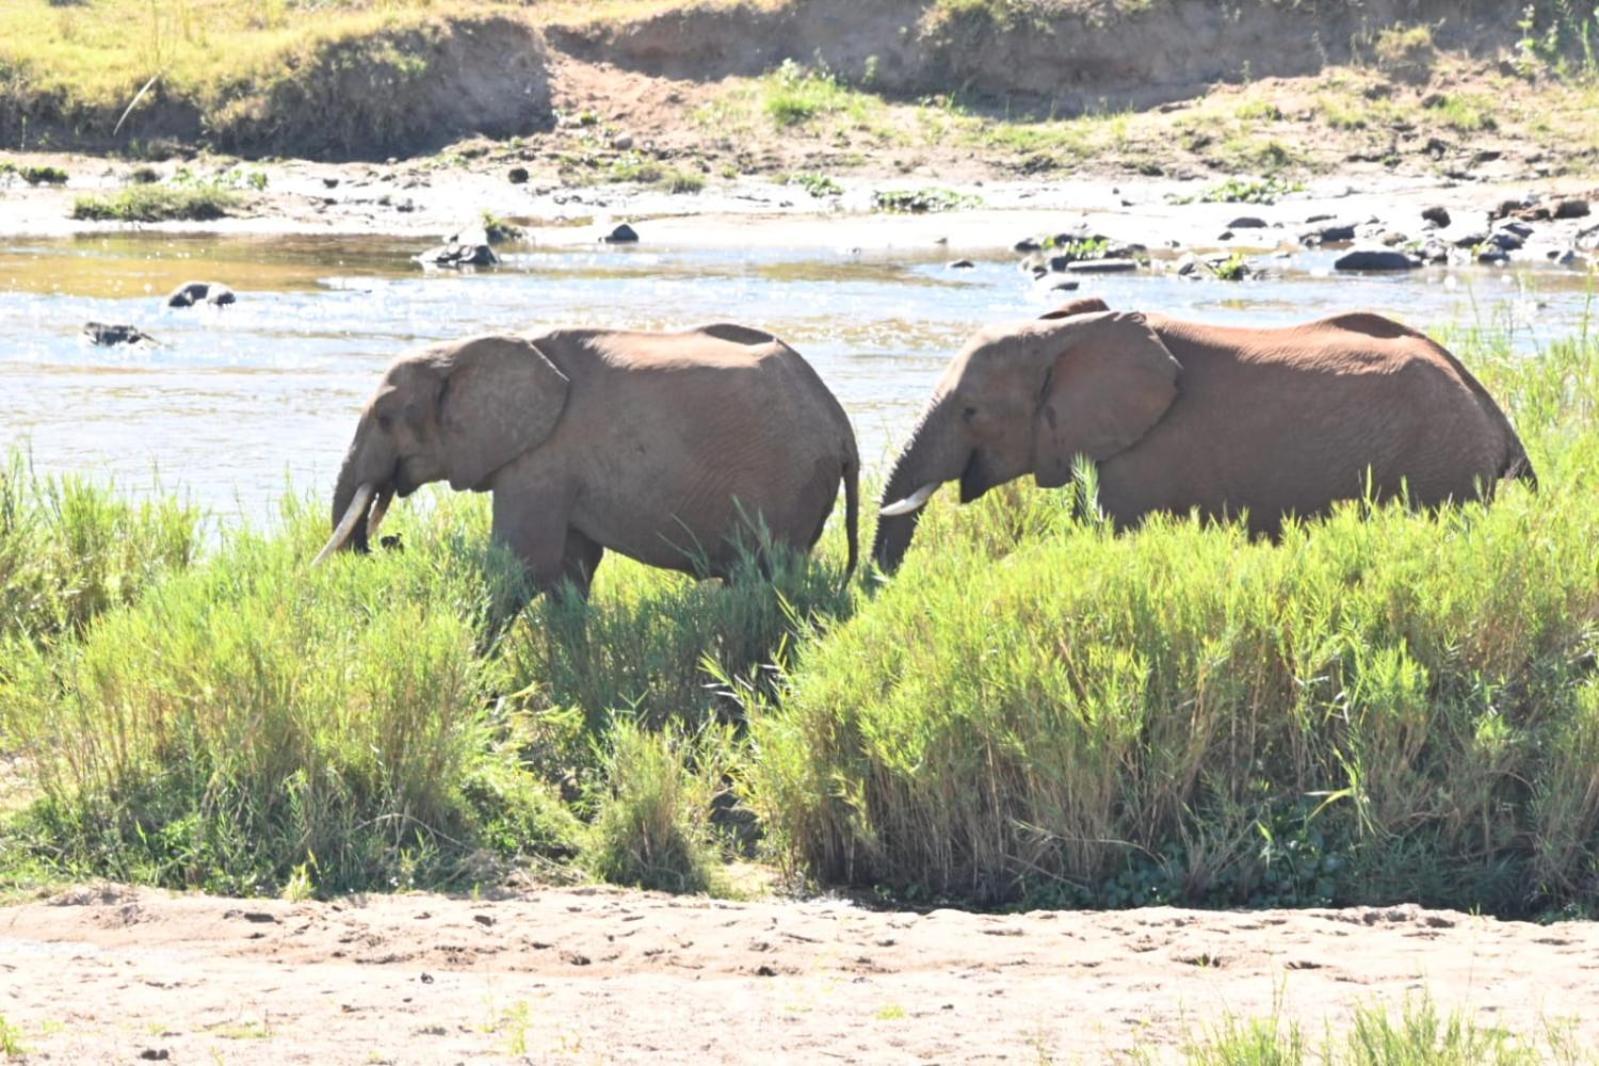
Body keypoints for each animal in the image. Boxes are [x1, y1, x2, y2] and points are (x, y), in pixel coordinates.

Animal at [315, 321, 863, 597]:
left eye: (386, 417)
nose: (388, 542)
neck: (466, 348)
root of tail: (841, 427)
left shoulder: (543, 459)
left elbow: (523, 567)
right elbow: (568, 571)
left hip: (789, 481)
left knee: (767, 578)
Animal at [876, 292, 1535, 575]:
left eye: (970, 411)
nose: (879, 586)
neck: (1066, 331)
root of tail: (1491, 409)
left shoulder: (1143, 456)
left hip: (1440, 467)